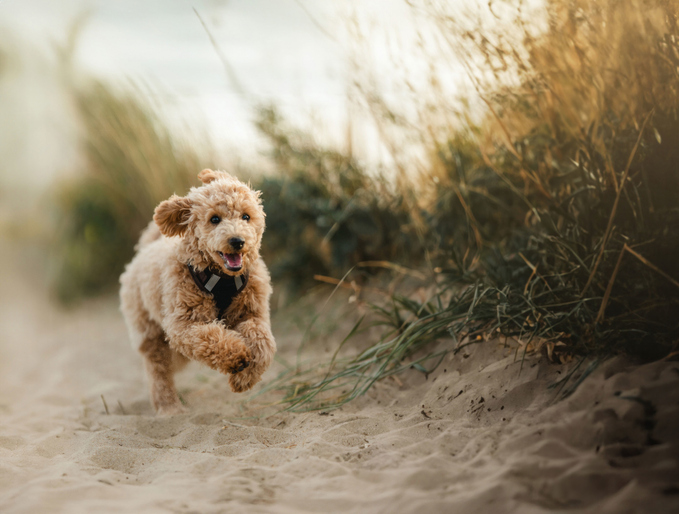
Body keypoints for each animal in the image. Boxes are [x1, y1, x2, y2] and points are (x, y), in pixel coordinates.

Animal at [120, 170, 276, 414]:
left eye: (246, 216)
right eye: (214, 219)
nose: (237, 241)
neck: (222, 279)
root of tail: (144, 250)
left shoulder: (252, 313)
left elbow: (263, 340)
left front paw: (245, 378)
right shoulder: (183, 324)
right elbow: (209, 337)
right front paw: (236, 355)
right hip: (149, 333)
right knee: (158, 371)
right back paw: (169, 408)